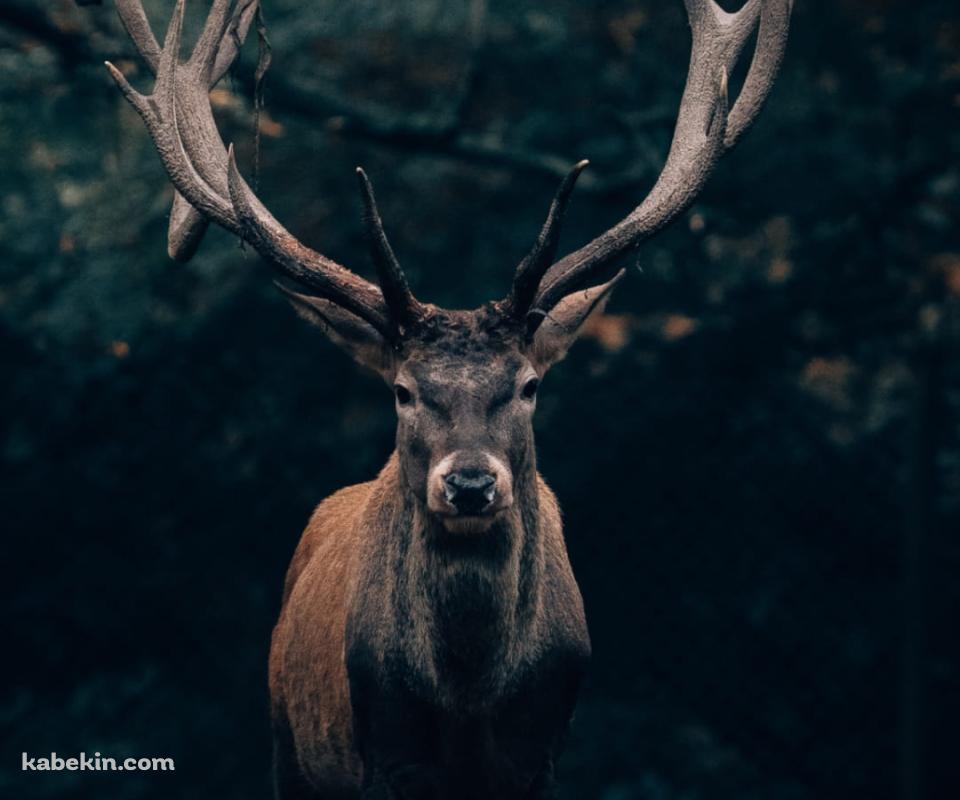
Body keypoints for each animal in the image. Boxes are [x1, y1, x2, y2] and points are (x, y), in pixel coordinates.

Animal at [103, 0, 791, 797]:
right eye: (402, 391)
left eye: (528, 385)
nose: (468, 484)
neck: (467, 699)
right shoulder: (386, 755)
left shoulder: (539, 756)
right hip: (288, 748)